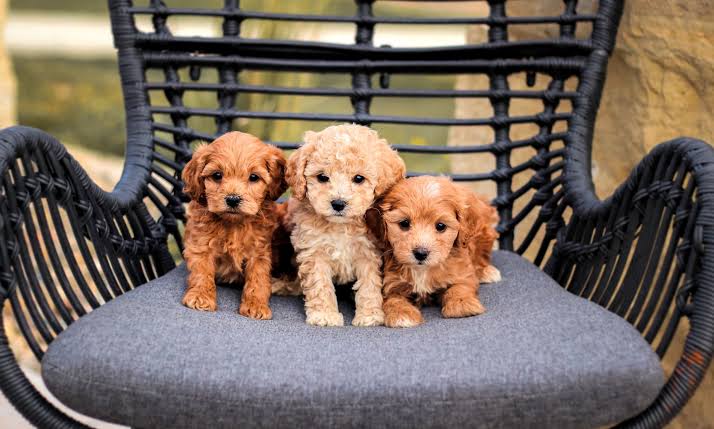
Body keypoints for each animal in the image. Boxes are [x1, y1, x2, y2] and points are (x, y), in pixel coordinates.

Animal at [181, 130, 286, 318]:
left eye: (254, 177)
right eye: (217, 175)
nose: (232, 199)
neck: (234, 224)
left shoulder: (259, 251)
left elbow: (258, 277)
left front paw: (255, 305)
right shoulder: (200, 244)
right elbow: (201, 271)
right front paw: (201, 296)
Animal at [280, 125, 406, 326]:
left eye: (359, 178)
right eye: (322, 177)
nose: (338, 203)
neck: (341, 226)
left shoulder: (368, 253)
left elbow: (369, 285)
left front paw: (369, 315)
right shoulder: (314, 252)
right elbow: (320, 284)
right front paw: (324, 315)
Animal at [372, 175, 500, 328]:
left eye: (440, 226)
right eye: (404, 223)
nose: (421, 253)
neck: (422, 270)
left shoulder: (462, 272)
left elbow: (460, 287)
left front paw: (462, 305)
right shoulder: (391, 284)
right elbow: (394, 299)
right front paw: (402, 315)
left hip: (484, 233)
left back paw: (487, 272)